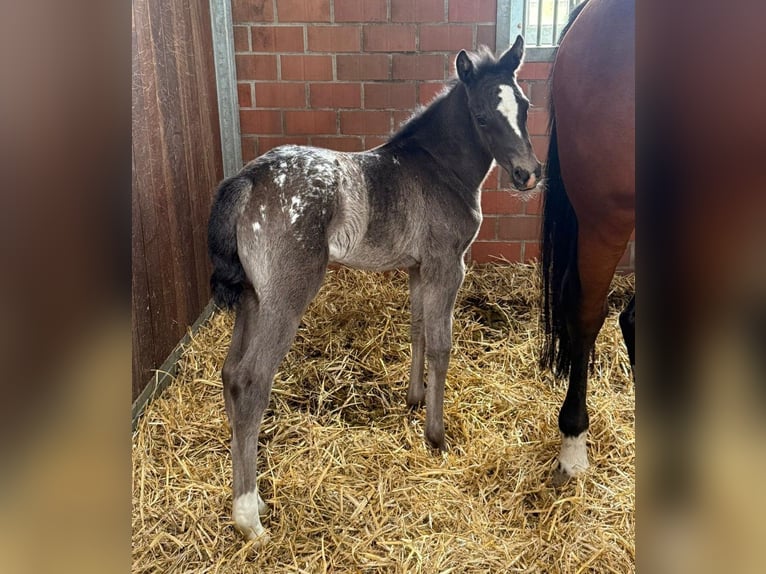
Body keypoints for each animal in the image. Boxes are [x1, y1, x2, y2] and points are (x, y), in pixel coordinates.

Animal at [208, 38, 541, 541]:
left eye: (523, 106)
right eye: (482, 116)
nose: (528, 174)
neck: (438, 169)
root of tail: (247, 178)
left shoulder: (419, 269)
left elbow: (418, 329)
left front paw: (414, 401)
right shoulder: (448, 265)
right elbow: (442, 345)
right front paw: (436, 436)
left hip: (253, 295)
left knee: (230, 373)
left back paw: (255, 496)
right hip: (286, 297)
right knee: (251, 379)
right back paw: (249, 518)